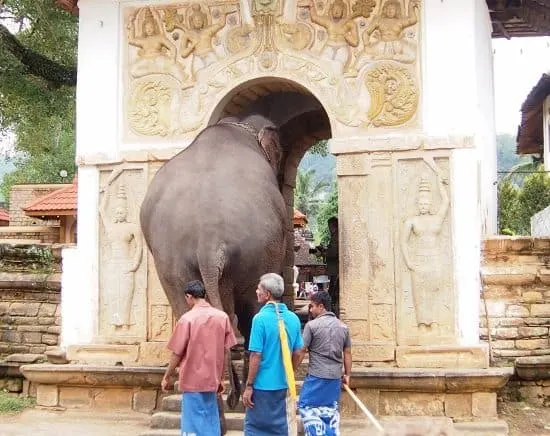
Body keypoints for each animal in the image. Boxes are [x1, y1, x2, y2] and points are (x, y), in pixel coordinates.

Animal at [140, 91, 326, 416]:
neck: (237, 125)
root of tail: (208, 240)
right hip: (255, 253)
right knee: (249, 312)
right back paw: (236, 391)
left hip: (170, 260)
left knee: (188, 309)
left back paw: (214, 394)